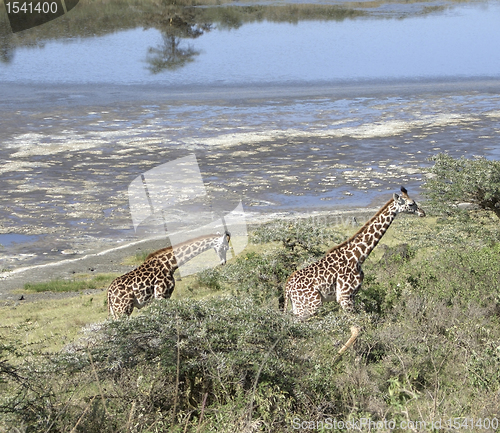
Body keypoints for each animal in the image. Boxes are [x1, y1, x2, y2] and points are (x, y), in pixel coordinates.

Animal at [284, 187, 424, 318]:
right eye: (411, 203)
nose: (423, 212)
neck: (358, 256)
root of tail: (287, 287)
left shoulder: (352, 296)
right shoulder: (345, 297)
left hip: (299, 306)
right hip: (311, 305)